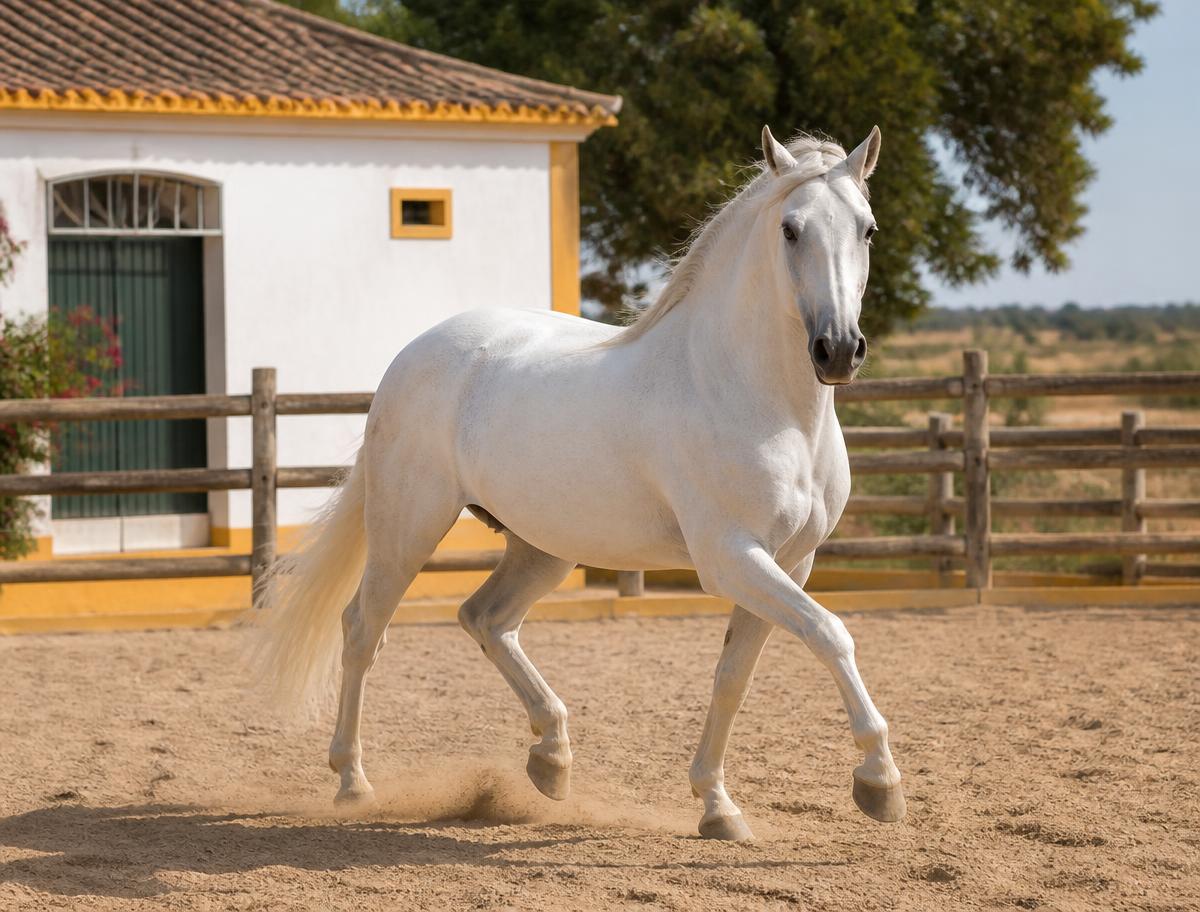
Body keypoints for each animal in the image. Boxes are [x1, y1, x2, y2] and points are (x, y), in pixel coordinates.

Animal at [255, 125, 905, 841]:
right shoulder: (731, 557)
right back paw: (353, 783)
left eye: (868, 229)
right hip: (409, 527)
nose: (838, 350)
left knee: (485, 619)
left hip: (542, 546)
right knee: (363, 630)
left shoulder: (792, 560)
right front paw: (879, 783)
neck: (754, 396)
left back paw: (551, 758)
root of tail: (413, 354)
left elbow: (735, 676)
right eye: (790, 229)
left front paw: (717, 806)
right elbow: (830, 633)